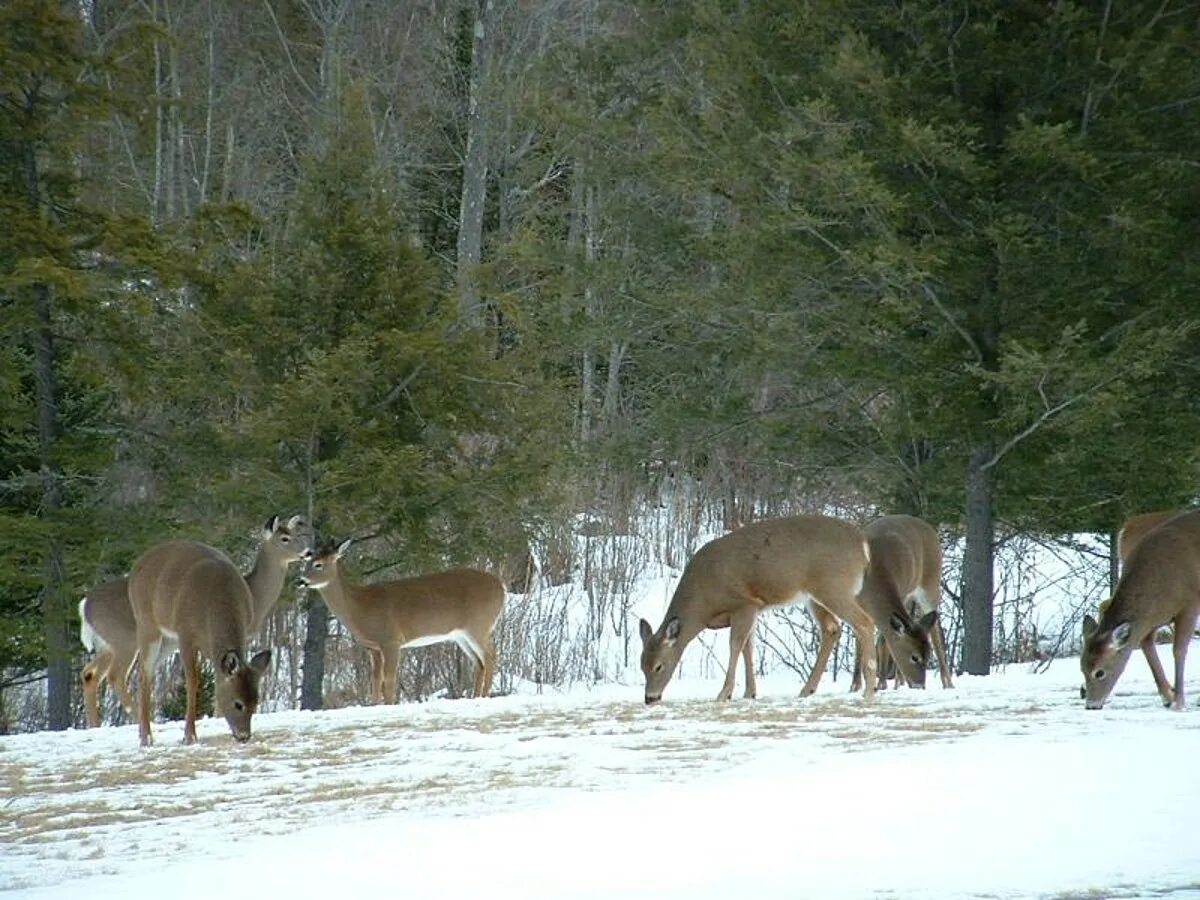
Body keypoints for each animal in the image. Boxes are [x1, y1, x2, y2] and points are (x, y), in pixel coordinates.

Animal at [78, 513, 307, 734]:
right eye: (284, 538)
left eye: (297, 534)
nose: (307, 551)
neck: (255, 595)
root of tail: (85, 604)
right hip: (126, 640)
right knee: (116, 675)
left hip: (108, 646)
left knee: (91, 673)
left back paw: (99, 725)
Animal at [304, 535, 506, 705]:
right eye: (306, 561)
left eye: (318, 564)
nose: (302, 580)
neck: (359, 606)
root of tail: (501, 586)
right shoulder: (373, 647)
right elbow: (375, 679)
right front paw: (375, 704)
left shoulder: (391, 640)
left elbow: (389, 678)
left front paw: (389, 704)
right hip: (461, 635)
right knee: (479, 662)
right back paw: (476, 696)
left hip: (479, 624)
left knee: (490, 656)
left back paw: (484, 696)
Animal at [633, 518, 878, 710]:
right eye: (641, 665)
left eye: (658, 666)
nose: (649, 698)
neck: (704, 603)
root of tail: (863, 545)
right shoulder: (752, 610)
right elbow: (748, 648)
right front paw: (749, 692)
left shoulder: (744, 604)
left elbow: (735, 645)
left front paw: (724, 694)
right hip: (814, 596)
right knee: (832, 628)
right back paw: (807, 689)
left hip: (834, 587)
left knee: (865, 622)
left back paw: (868, 691)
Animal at [849, 513, 950, 691]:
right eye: (914, 657)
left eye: (928, 657)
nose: (919, 685)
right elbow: (859, 638)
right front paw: (855, 685)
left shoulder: (900, 591)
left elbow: (883, 638)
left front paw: (881, 682)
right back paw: (899, 681)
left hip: (930, 583)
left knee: (936, 630)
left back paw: (947, 682)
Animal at [1084, 508, 1200, 710]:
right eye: (1082, 668)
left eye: (1099, 672)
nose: (1091, 705)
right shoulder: (1153, 616)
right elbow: (1149, 643)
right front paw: (1172, 697)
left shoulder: (1190, 603)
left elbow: (1178, 649)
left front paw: (1178, 700)